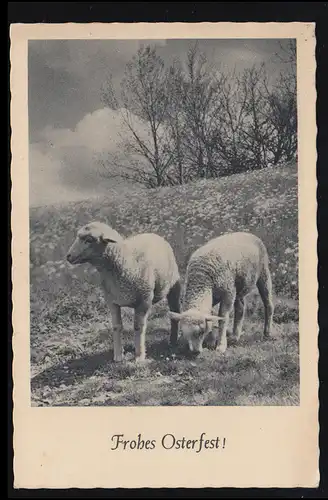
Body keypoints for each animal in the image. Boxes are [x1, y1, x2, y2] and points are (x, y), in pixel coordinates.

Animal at [65, 223, 181, 364]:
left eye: (89, 240)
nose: (68, 256)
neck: (124, 262)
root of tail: (152, 234)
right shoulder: (112, 301)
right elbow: (117, 326)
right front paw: (118, 356)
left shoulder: (144, 301)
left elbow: (138, 327)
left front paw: (139, 356)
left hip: (174, 285)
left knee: (175, 313)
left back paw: (173, 340)